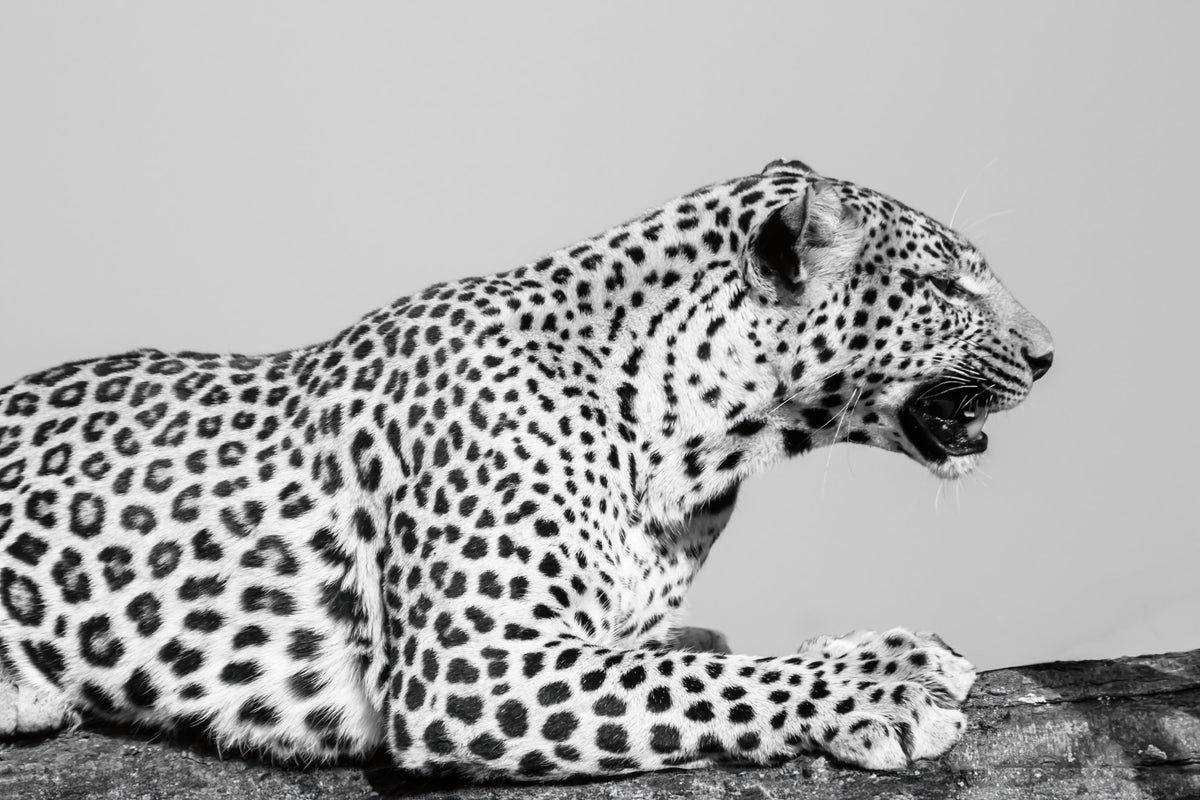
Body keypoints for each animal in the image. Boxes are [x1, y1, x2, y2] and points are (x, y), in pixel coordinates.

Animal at [0, 158, 1053, 780]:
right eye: (948, 285)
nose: (1049, 356)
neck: (697, 442)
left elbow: (696, 654)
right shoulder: (470, 663)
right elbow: (701, 683)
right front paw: (885, 685)